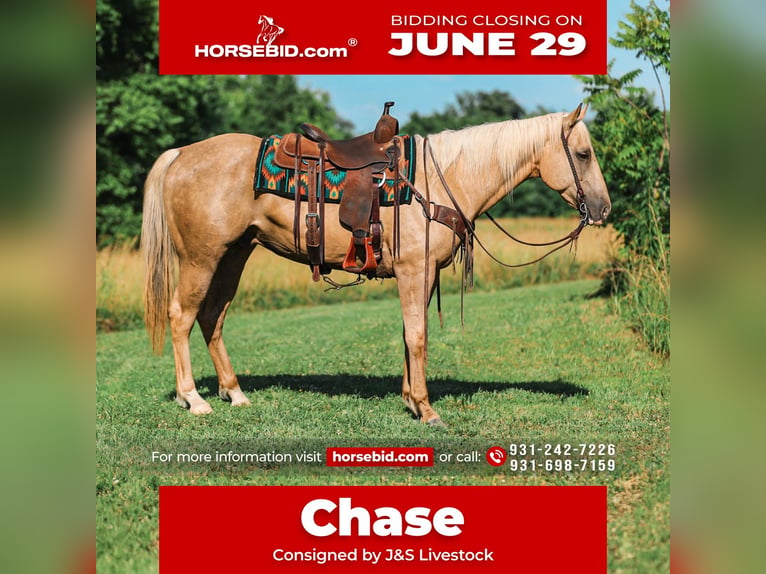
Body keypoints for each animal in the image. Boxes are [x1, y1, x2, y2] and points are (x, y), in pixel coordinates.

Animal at [141, 104, 611, 425]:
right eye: (583, 154)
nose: (603, 209)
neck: (440, 181)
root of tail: (181, 154)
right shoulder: (414, 271)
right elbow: (418, 336)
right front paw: (427, 410)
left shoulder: (422, 274)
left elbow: (409, 333)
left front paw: (409, 400)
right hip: (201, 258)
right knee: (181, 316)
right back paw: (193, 398)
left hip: (234, 254)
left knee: (212, 318)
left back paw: (234, 392)